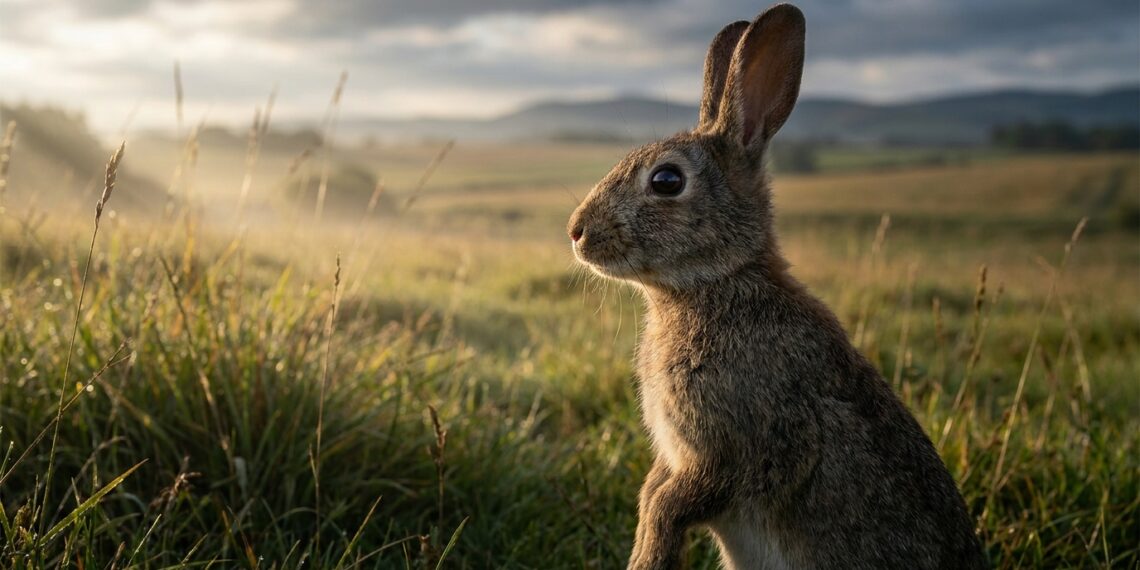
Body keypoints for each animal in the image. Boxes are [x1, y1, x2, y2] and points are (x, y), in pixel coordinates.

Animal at [566, 4, 987, 570]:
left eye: (667, 181)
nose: (576, 232)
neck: (715, 284)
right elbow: (654, 490)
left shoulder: (740, 445)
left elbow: (674, 503)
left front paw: (649, 555)